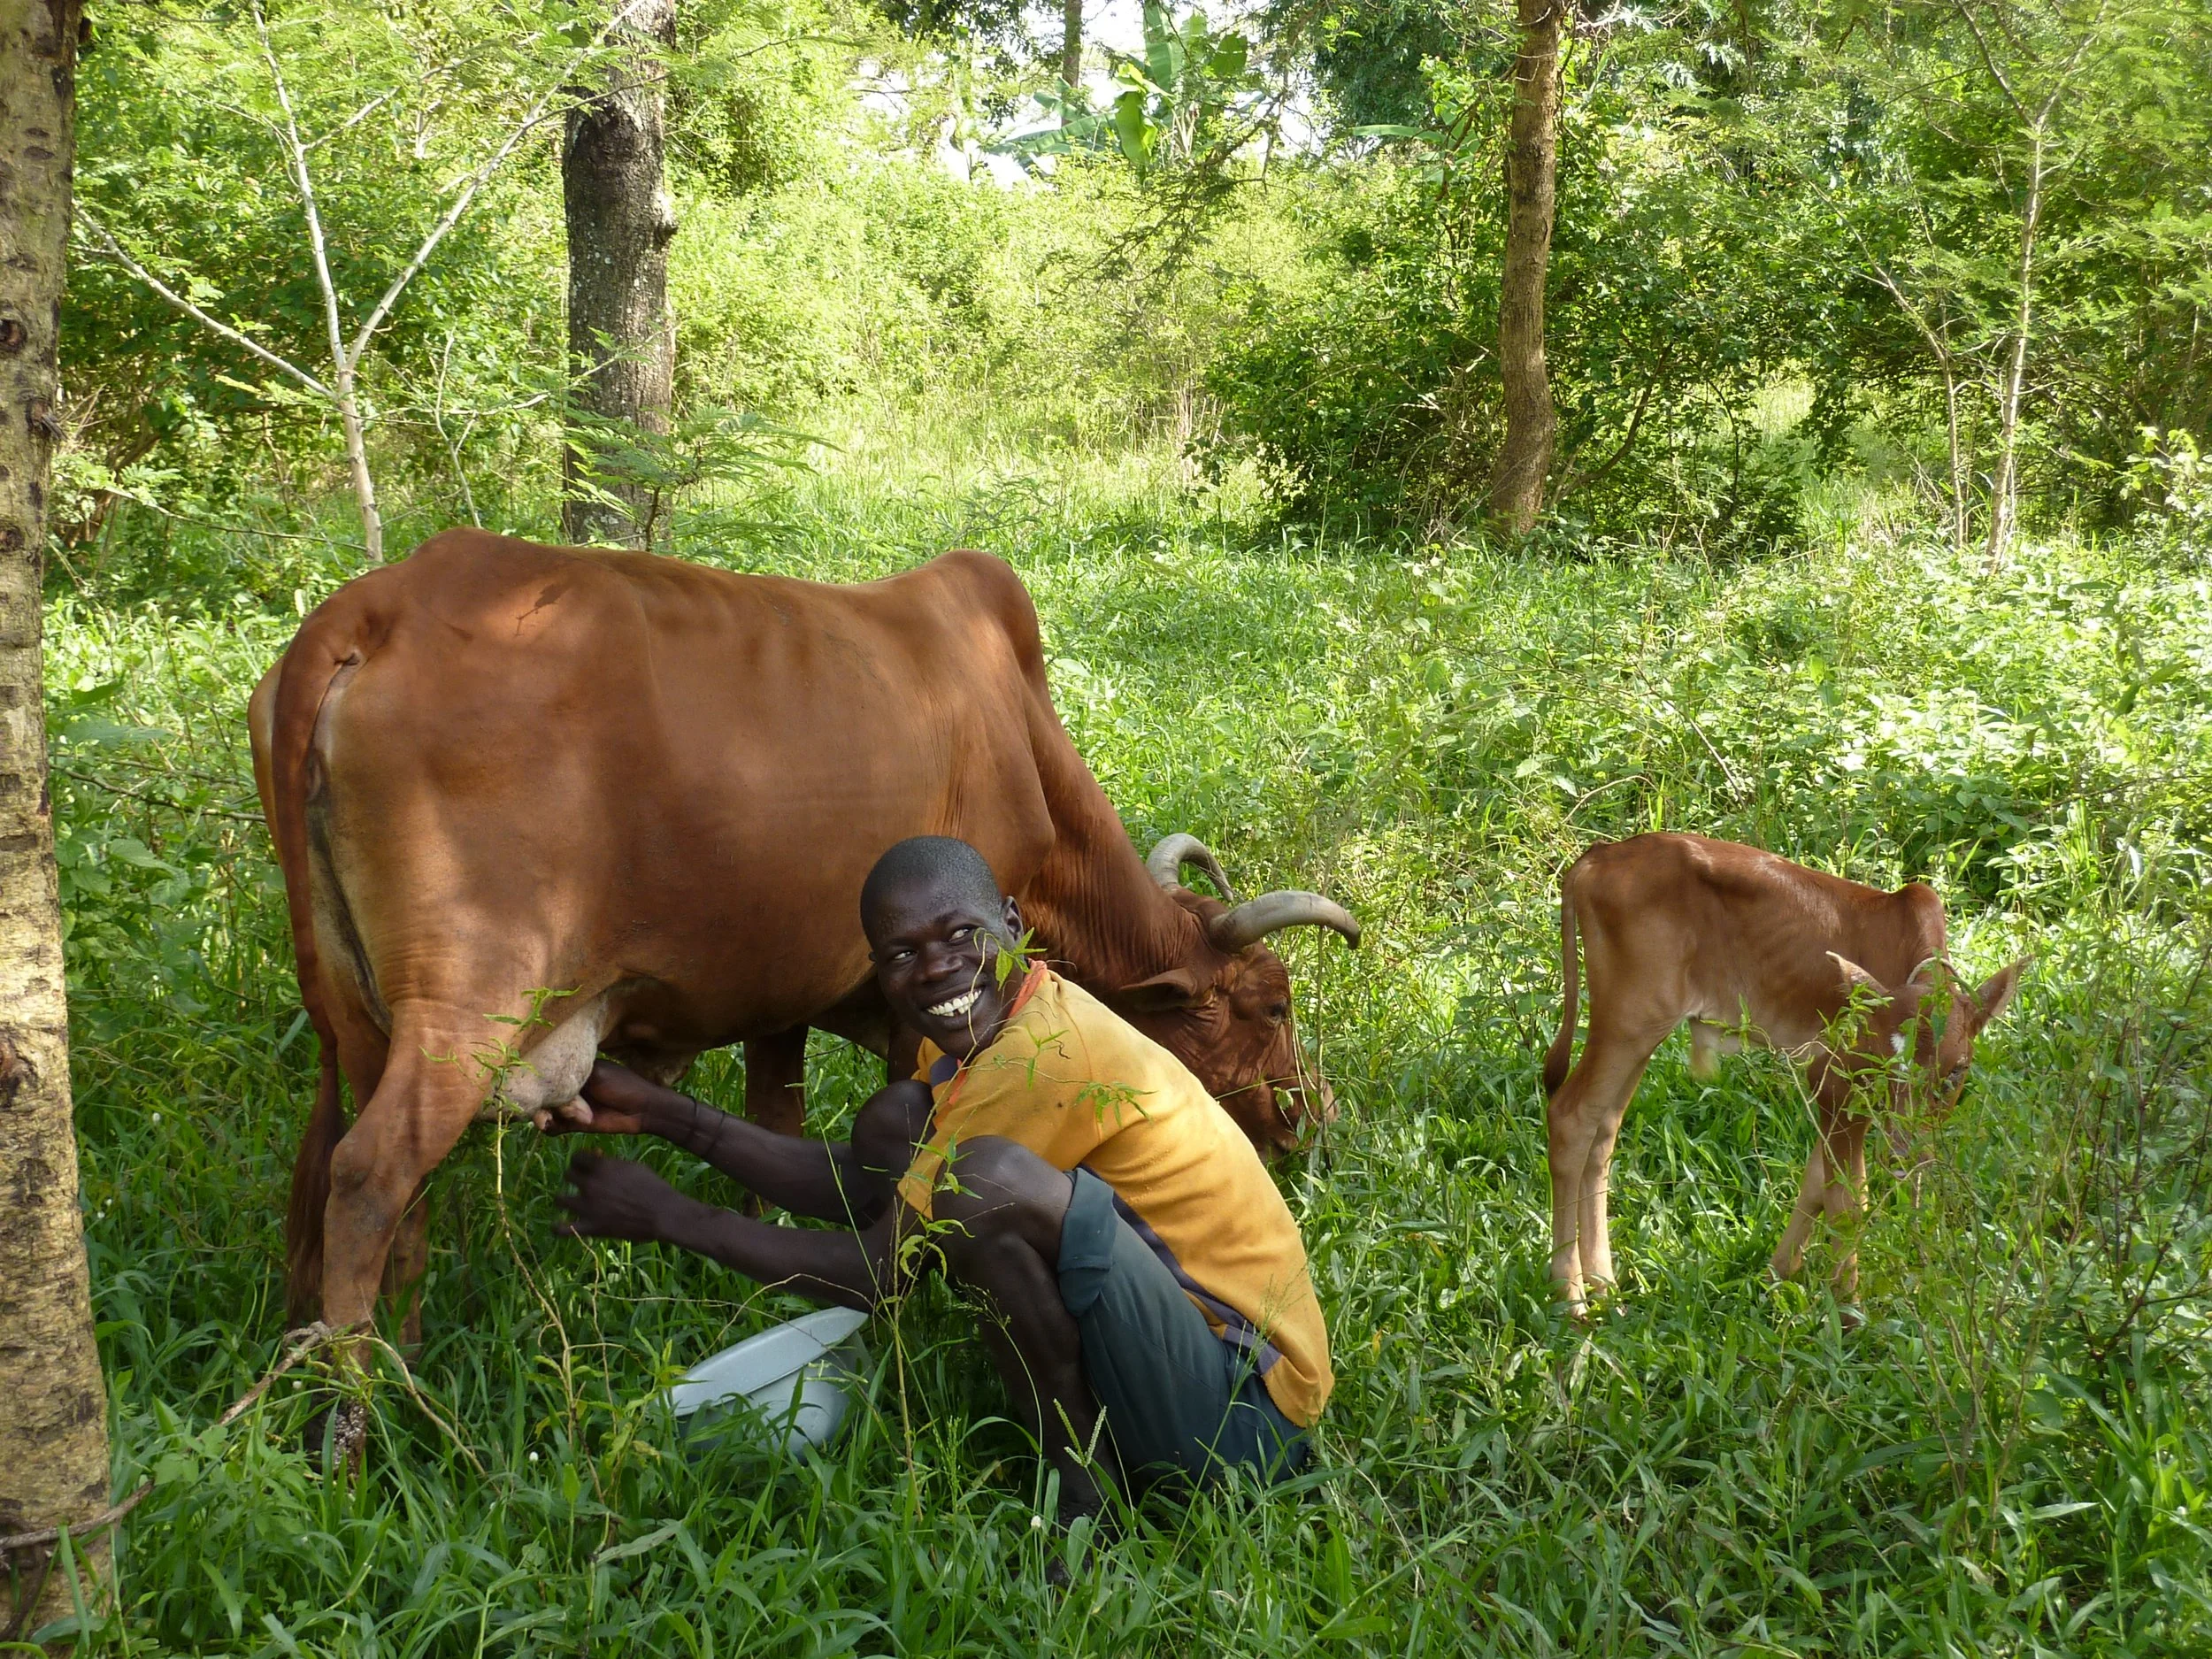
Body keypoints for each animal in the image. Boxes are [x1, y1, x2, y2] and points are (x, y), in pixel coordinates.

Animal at [248, 533, 1360, 1348]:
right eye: (1272, 1002)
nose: (1311, 1119)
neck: (1020, 740)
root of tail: (376, 608)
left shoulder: (783, 990)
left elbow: (775, 1131)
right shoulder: (883, 1004)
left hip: (355, 1017)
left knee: (373, 1185)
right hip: (469, 1009)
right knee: (371, 1176)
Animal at [1539, 833, 2026, 1318]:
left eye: (1956, 1070)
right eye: (1884, 1065)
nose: (1903, 1155)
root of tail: (1599, 856)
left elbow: (1815, 1184)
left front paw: (1776, 1276)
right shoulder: (1835, 1080)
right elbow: (1847, 1200)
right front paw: (1848, 1313)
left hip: (1639, 1029)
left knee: (1603, 1131)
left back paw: (1604, 1287)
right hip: (1630, 1019)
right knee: (1572, 1118)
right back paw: (1573, 1299)